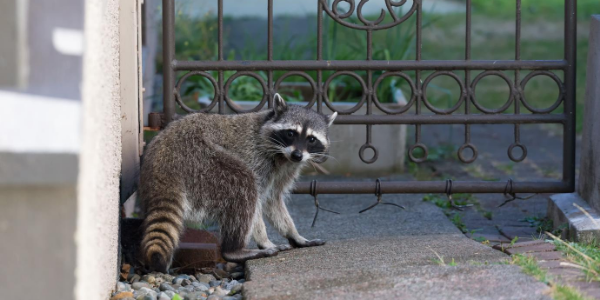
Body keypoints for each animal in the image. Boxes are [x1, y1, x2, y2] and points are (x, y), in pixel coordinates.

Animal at [140, 94, 338, 272]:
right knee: (243, 185)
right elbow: (257, 202)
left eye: (311, 139)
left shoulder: (285, 170)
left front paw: (294, 235)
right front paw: (264, 240)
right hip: (201, 159)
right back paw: (234, 249)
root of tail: (163, 159)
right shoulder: (256, 157)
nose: (297, 155)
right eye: (290, 133)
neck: (282, 155)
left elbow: (273, 201)